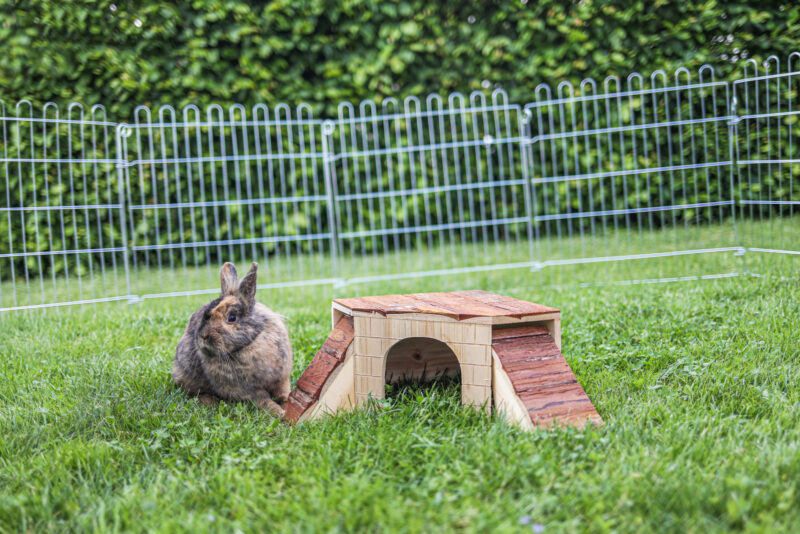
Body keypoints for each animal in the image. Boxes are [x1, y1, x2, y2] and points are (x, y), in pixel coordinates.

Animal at [173, 264, 294, 418]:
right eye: (204, 316)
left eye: (232, 317)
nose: (203, 336)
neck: (249, 344)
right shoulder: (247, 391)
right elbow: (263, 400)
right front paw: (279, 412)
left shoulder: (282, 377)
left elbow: (283, 390)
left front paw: (285, 400)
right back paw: (210, 401)